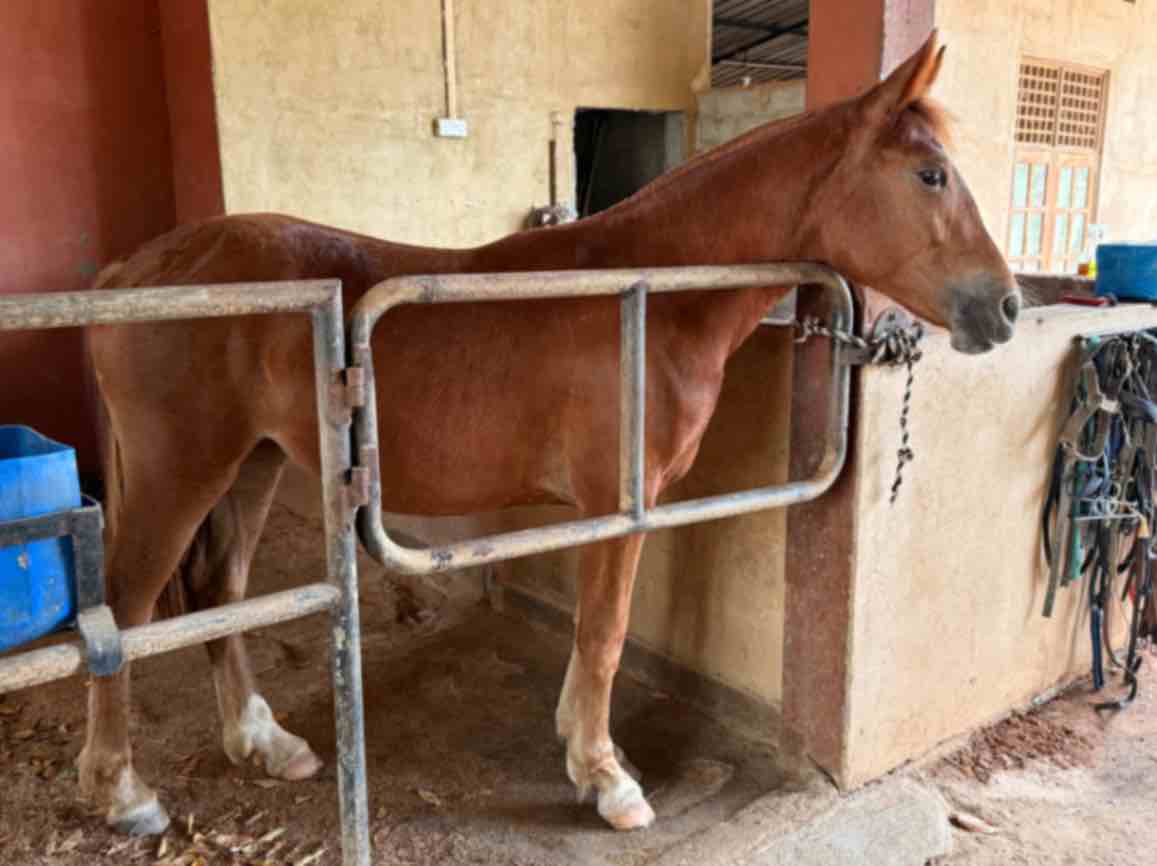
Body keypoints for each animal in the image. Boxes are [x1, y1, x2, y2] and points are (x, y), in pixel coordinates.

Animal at [80, 32, 1019, 836]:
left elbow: (591, 640)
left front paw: (582, 748)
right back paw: (124, 791)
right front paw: (606, 780)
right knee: (125, 611)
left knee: (220, 591)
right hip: (179, 470)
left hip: (253, 463)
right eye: (930, 175)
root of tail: (136, 270)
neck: (650, 294)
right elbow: (603, 635)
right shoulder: (617, 501)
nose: (1006, 308)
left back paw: (263, 741)